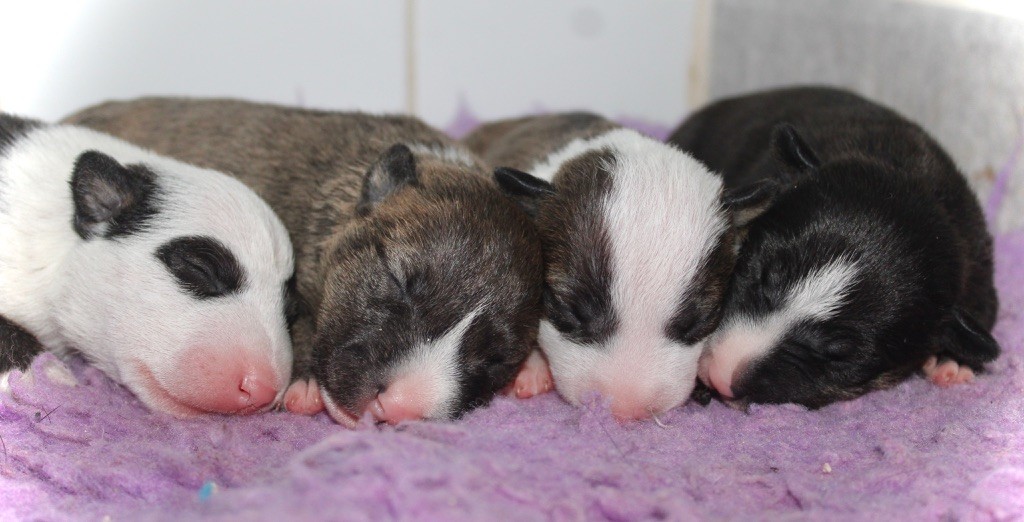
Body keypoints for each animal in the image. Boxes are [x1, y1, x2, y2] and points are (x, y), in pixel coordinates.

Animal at [663, 86, 999, 407]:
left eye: (837, 352)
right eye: (760, 274)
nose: (719, 375)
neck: (911, 175)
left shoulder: (977, 263)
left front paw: (952, 362)